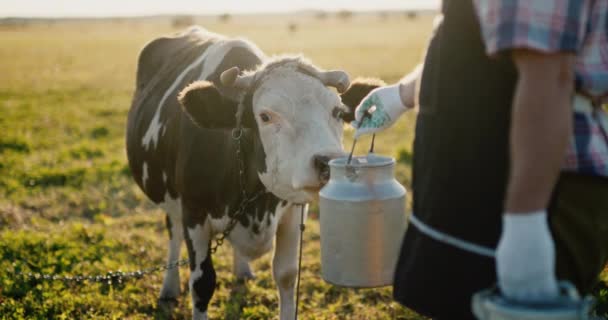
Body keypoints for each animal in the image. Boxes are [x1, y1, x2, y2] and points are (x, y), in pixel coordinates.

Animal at [124, 26, 380, 318]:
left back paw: (242, 270)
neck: (256, 201)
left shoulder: (294, 210)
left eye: (338, 111)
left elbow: (287, 275)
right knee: (173, 232)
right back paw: (169, 287)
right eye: (265, 116)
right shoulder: (193, 211)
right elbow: (202, 283)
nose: (328, 162)